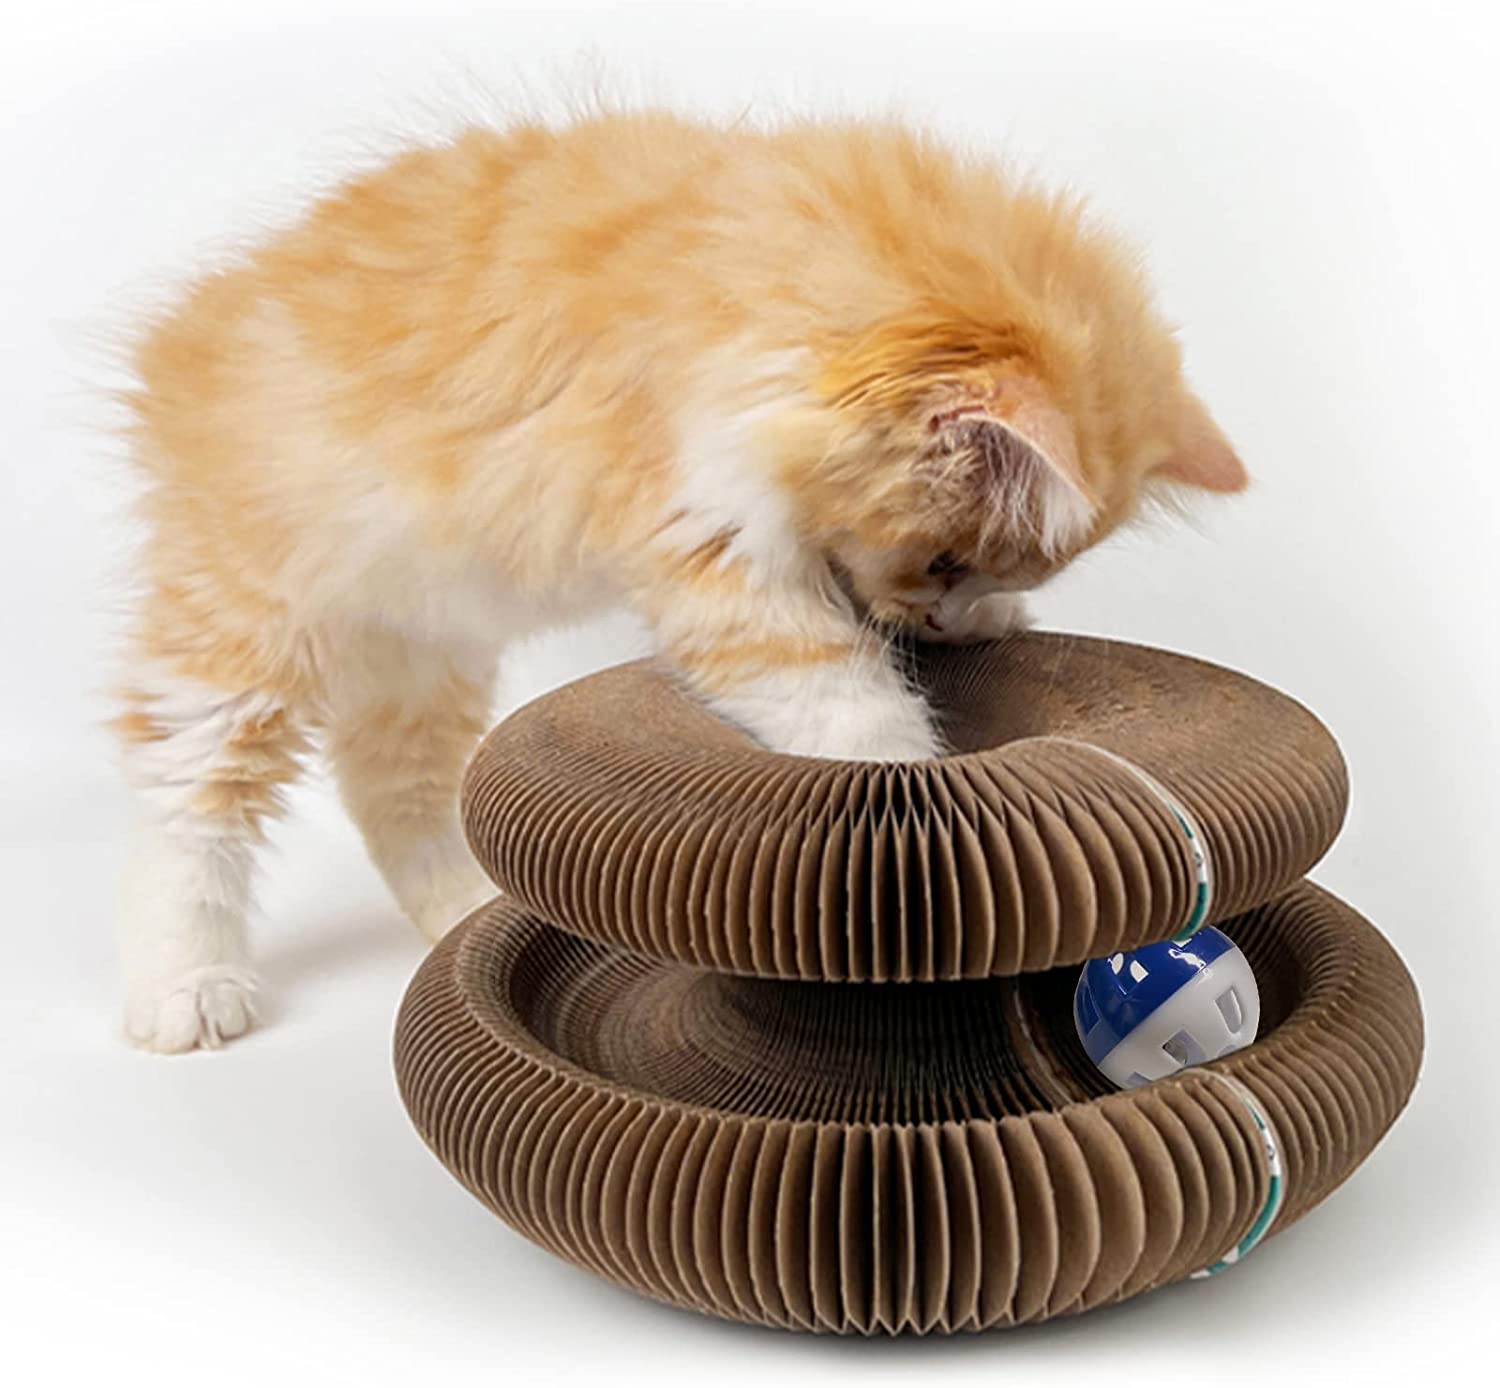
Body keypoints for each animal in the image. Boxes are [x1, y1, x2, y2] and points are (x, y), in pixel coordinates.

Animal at [114, 114, 1242, 1050]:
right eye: (943, 558)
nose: (940, 606)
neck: (745, 283)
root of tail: (183, 340)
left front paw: (987, 625)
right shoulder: (713, 549)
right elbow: (854, 708)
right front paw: (905, 794)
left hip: (423, 654)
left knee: (392, 792)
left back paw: (466, 906)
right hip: (242, 632)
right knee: (184, 801)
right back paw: (186, 986)